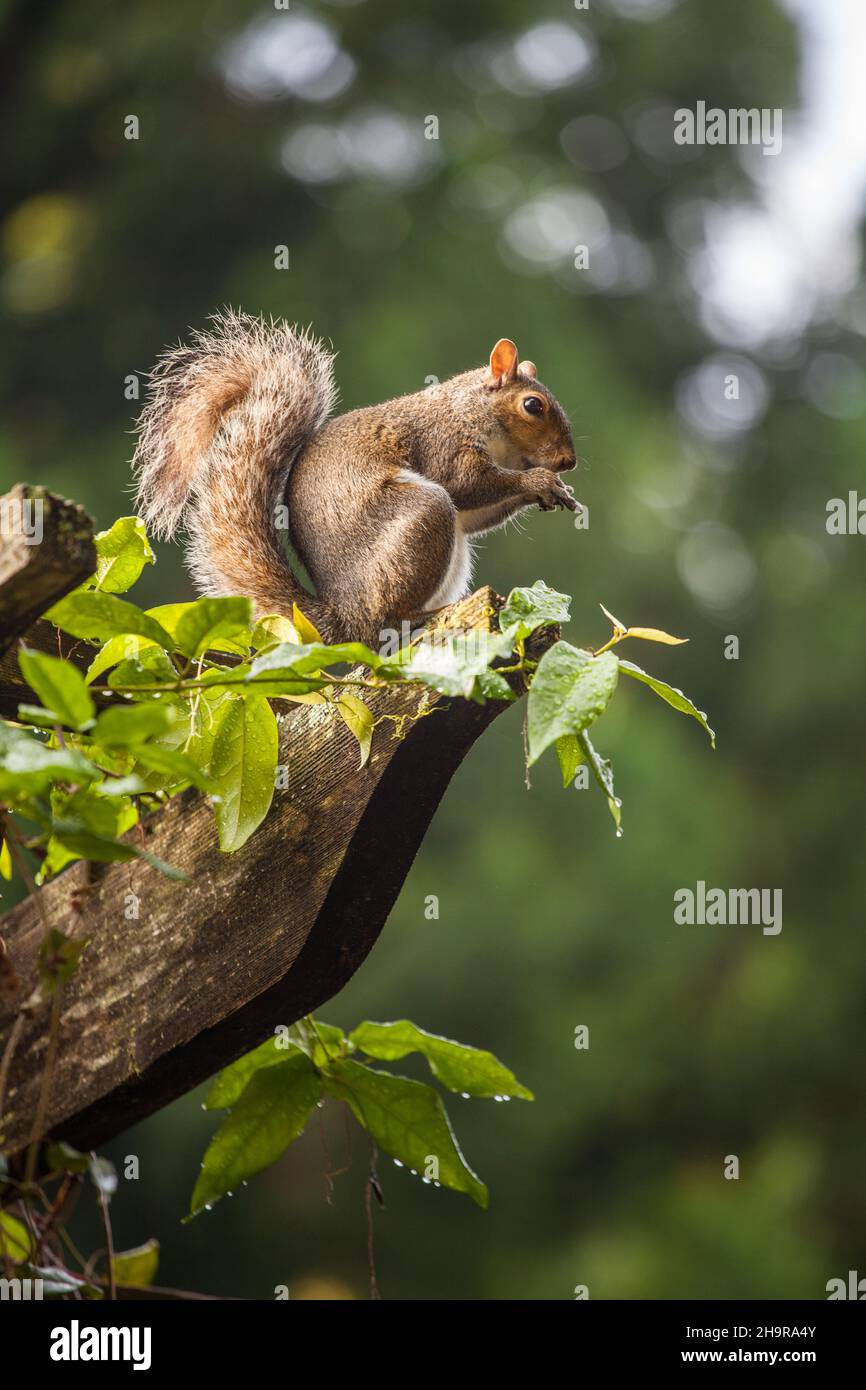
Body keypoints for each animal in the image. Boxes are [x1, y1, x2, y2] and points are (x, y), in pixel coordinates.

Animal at [133, 310, 579, 644]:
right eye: (533, 406)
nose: (568, 461)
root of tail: (344, 618)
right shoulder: (444, 443)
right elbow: (466, 485)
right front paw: (539, 482)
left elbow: (473, 516)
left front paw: (555, 491)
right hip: (423, 516)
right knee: (387, 620)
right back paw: (425, 613)